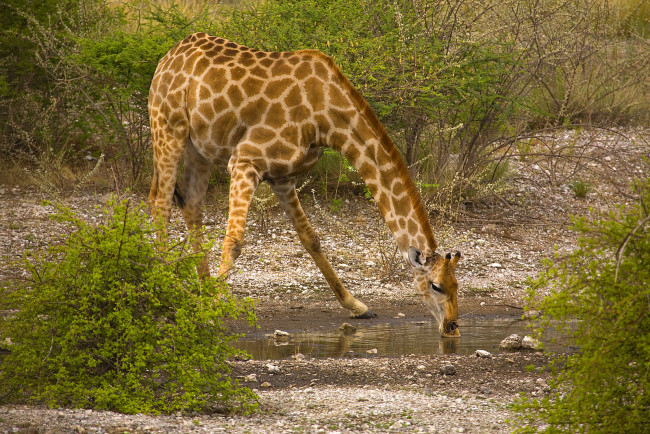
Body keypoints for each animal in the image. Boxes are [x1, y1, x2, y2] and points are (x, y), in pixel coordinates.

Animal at [147, 34, 460, 340]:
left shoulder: (283, 177)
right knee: (161, 202)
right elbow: (234, 242)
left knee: (189, 203)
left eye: (457, 284)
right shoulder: (245, 161)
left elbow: (311, 238)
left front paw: (357, 306)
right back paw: (168, 289)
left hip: (199, 147)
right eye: (436, 286)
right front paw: (210, 311)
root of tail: (168, 56)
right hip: (169, 128)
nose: (452, 326)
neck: (326, 118)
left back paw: (200, 288)